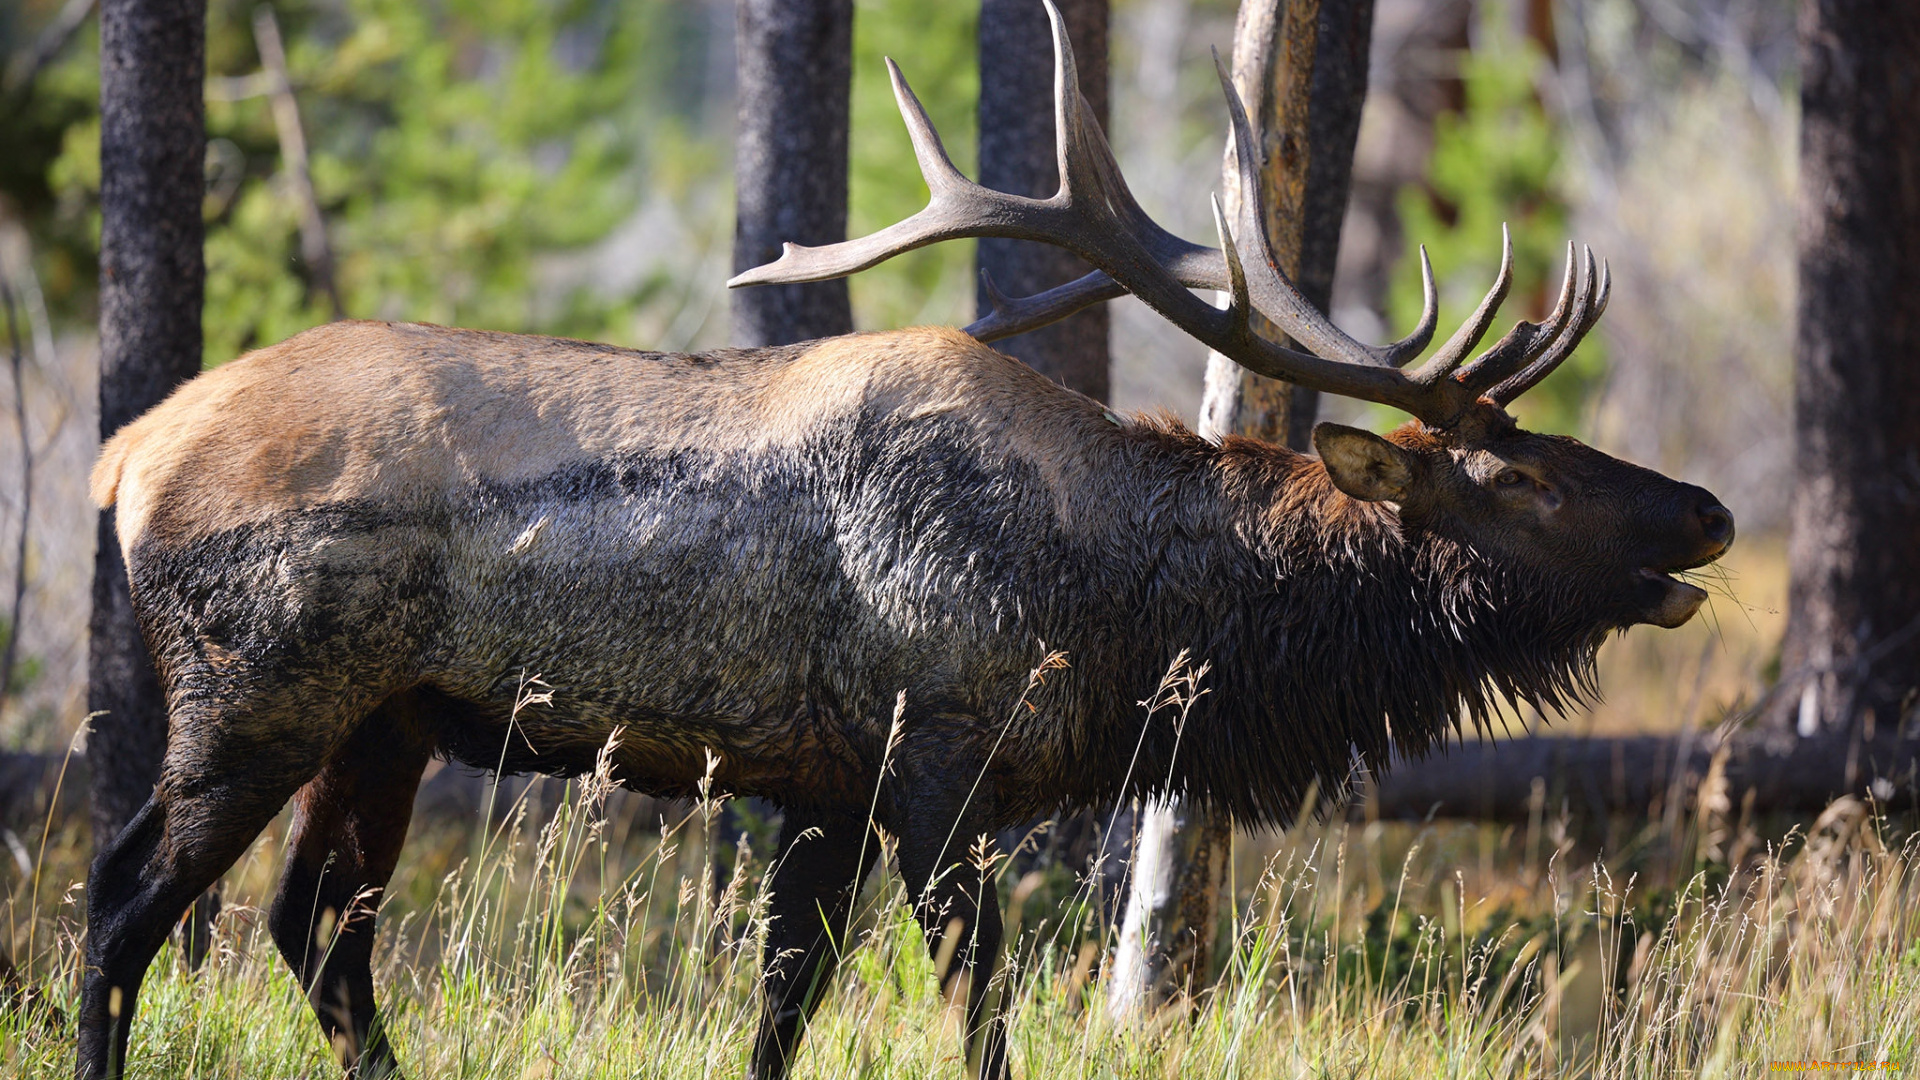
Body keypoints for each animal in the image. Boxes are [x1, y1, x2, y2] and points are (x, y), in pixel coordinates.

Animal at [74, 4, 1735, 1068]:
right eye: (1514, 479)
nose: (1707, 509)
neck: (1121, 616)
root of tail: (126, 456)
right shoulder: (938, 762)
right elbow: (980, 1015)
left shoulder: (819, 784)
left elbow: (779, 1013)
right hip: (259, 694)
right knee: (121, 904)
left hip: (387, 723)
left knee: (315, 934)